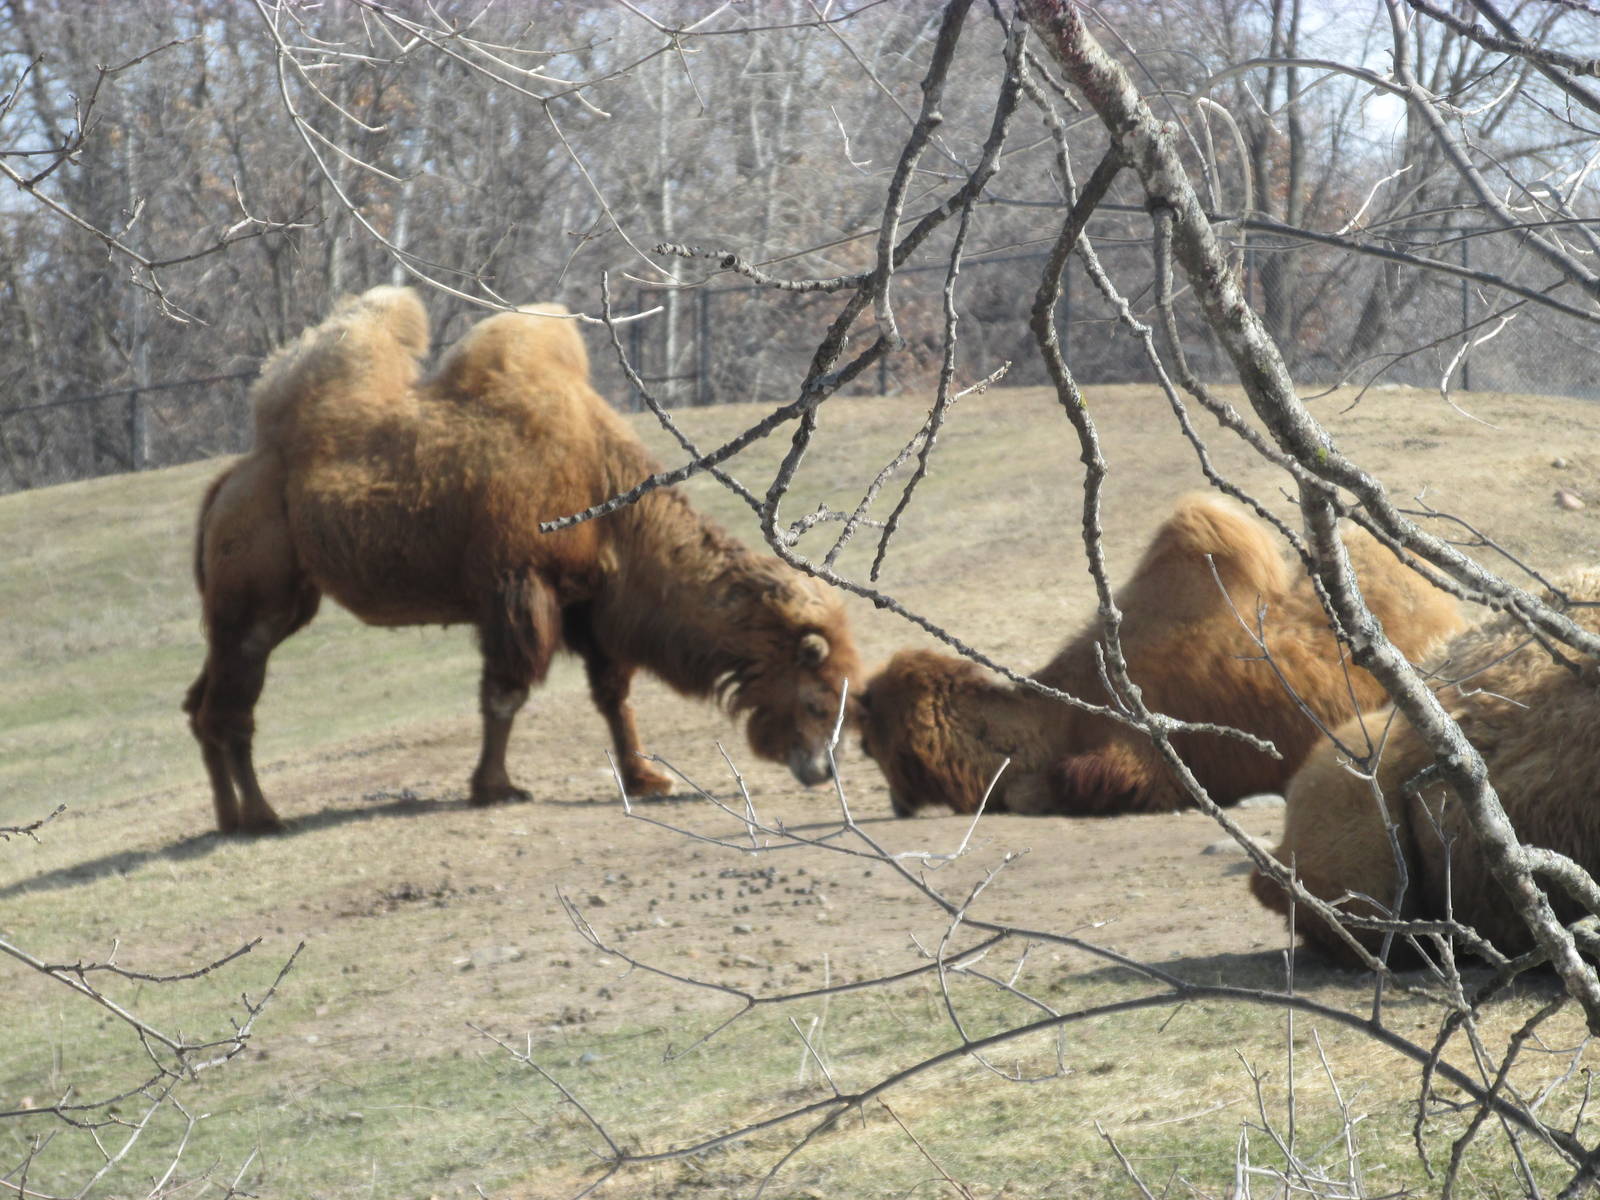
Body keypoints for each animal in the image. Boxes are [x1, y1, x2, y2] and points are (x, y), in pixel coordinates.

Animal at [185, 287, 860, 834]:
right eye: (818, 699)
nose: (821, 770)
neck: (607, 494)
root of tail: (228, 484)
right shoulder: (519, 586)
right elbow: (505, 694)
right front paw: (495, 788)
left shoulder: (589, 602)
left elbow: (613, 695)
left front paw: (644, 779)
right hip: (257, 605)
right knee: (231, 710)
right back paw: (263, 817)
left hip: (269, 605)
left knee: (201, 704)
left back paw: (228, 818)